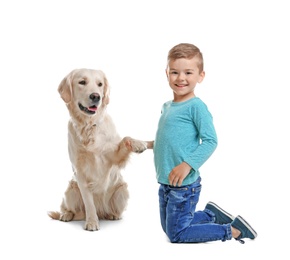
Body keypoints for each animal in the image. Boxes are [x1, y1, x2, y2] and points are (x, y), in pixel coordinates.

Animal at [48, 68, 147, 231]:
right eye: (82, 82)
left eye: (100, 84)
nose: (96, 96)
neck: (88, 125)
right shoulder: (79, 171)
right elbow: (89, 203)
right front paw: (92, 222)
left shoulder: (113, 157)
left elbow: (125, 139)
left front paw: (139, 143)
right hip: (71, 190)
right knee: (70, 208)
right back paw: (66, 215)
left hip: (122, 190)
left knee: (111, 210)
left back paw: (112, 215)